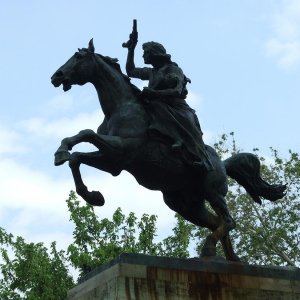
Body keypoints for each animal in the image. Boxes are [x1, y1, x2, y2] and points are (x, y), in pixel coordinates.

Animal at [50, 39, 284, 260]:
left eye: (79, 57)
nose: (56, 76)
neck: (120, 107)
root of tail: (223, 165)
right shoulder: (113, 162)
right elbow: (76, 157)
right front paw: (93, 195)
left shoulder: (122, 149)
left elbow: (86, 133)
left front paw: (62, 154)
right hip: (185, 204)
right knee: (218, 223)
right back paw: (226, 258)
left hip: (213, 192)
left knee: (228, 221)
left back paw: (210, 249)